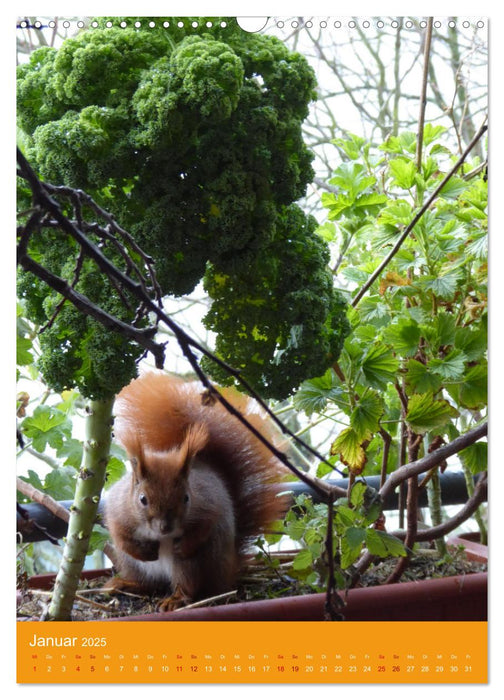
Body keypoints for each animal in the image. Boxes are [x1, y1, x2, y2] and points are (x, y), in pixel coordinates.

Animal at [104, 372, 290, 608]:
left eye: (186, 498)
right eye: (142, 499)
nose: (165, 528)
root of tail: (228, 573)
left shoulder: (207, 504)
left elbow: (205, 526)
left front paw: (182, 546)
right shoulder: (118, 509)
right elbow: (120, 535)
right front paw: (144, 551)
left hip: (194, 564)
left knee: (187, 585)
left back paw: (175, 599)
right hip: (133, 565)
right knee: (148, 583)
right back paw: (126, 584)